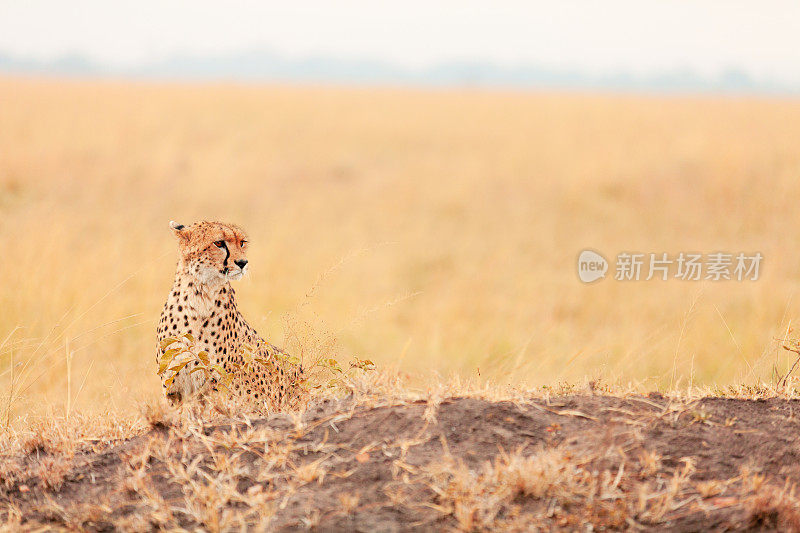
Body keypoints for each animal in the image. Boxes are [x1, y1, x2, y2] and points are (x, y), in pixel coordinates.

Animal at [155, 220, 304, 408]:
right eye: (219, 243)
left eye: (242, 243)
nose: (243, 262)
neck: (200, 295)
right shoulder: (174, 390)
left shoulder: (217, 388)